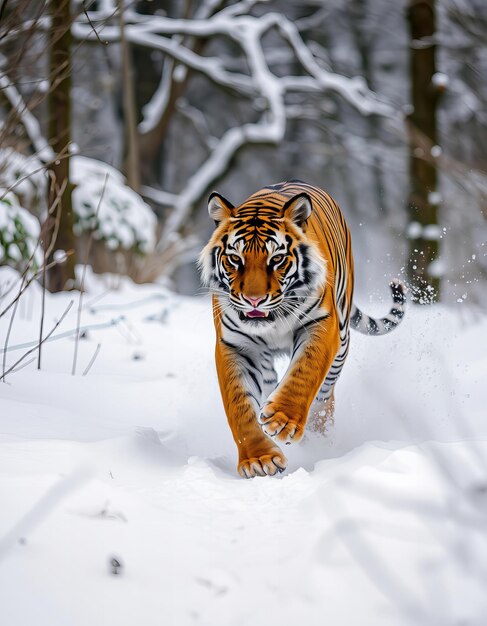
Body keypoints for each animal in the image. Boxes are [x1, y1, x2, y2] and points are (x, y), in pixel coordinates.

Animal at [198, 180, 408, 478]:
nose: (253, 300)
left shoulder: (321, 325)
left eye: (276, 259)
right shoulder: (236, 345)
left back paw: (318, 437)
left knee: (324, 395)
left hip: (342, 342)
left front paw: (282, 420)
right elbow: (239, 406)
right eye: (235, 259)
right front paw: (259, 459)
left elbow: (304, 372)